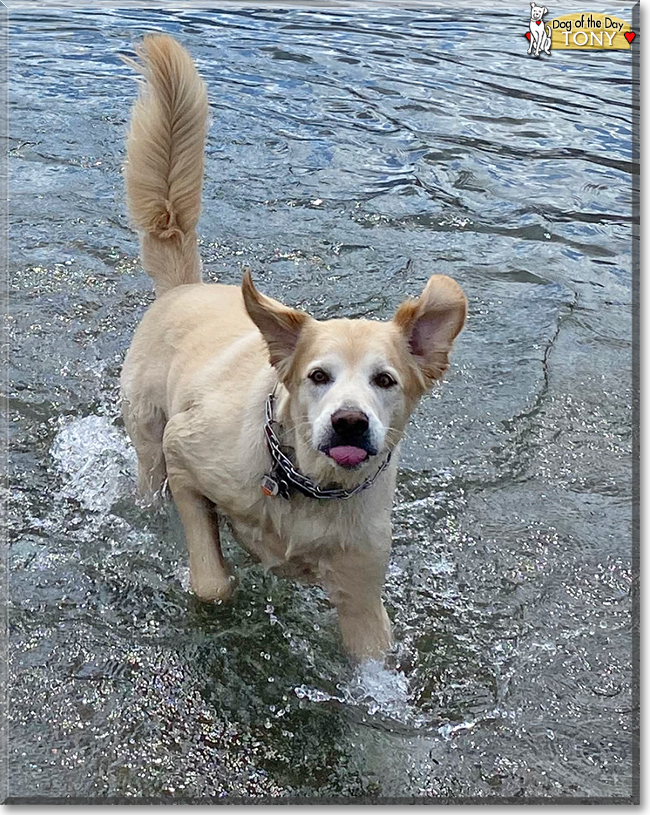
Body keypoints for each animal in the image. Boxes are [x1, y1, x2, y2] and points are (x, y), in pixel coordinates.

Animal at [120, 35, 466, 668]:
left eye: (385, 381)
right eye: (317, 376)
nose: (350, 423)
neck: (305, 487)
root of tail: (184, 286)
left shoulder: (362, 592)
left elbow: (372, 660)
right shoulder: (186, 456)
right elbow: (212, 579)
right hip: (149, 435)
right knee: (151, 477)